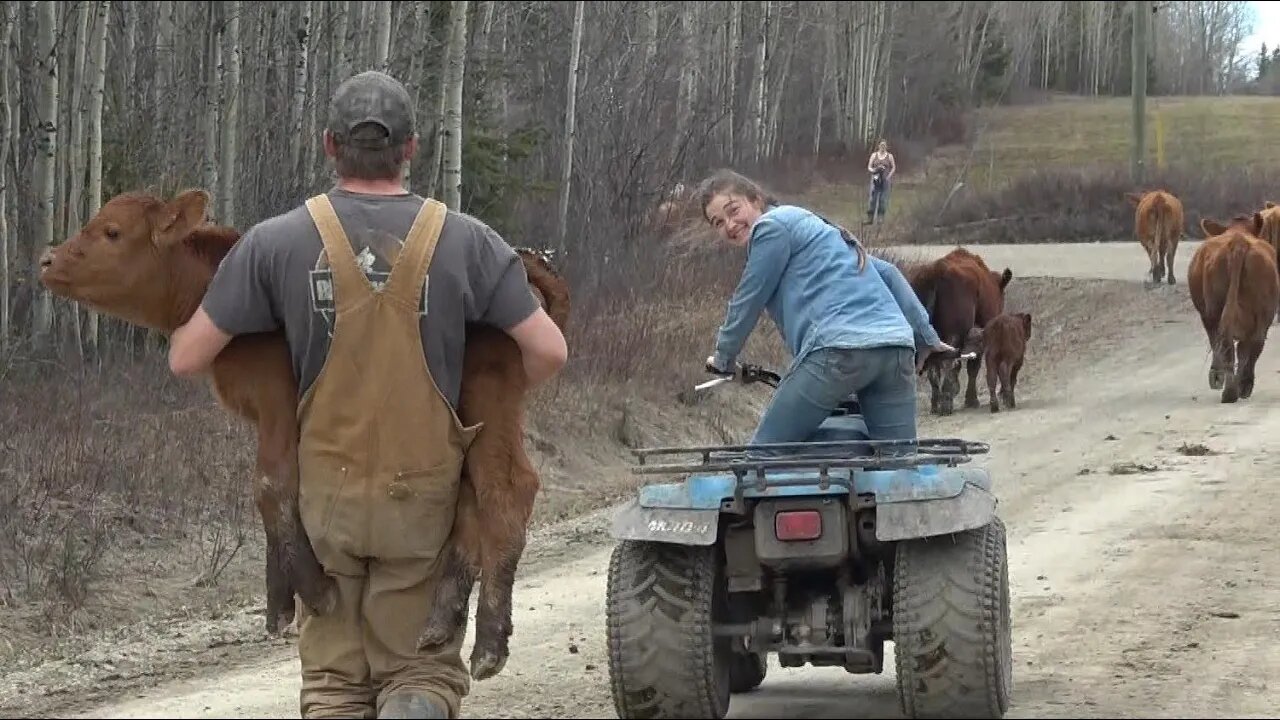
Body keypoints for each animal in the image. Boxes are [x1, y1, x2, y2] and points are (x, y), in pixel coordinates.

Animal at [36, 185, 570, 676]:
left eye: (111, 232)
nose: (46, 259)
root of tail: (524, 268)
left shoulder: (275, 397)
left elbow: (271, 486)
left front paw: (315, 593)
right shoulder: (271, 417)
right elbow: (281, 489)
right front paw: (279, 605)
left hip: (490, 398)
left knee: (509, 487)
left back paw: (489, 643)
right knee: (471, 496)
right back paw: (441, 617)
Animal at [906, 248, 1013, 412]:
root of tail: (935, 271)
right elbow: (972, 366)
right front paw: (971, 399)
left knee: (934, 364)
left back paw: (936, 403)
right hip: (953, 334)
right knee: (948, 361)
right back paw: (946, 402)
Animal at [1182, 212, 1274, 404]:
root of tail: (1238, 242)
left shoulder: (1206, 315)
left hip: (1215, 310)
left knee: (1229, 343)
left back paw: (1231, 389)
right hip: (1262, 312)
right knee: (1250, 344)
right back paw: (1240, 387)